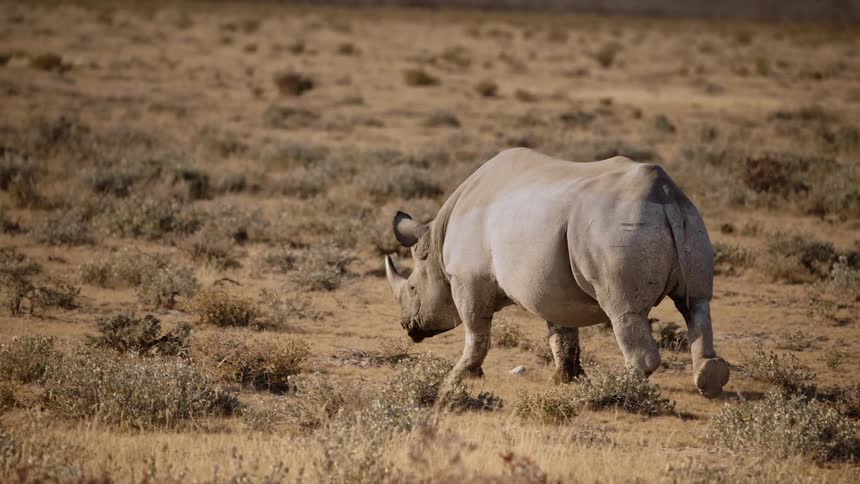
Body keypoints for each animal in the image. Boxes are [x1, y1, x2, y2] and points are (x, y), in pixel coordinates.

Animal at [384, 148, 729, 398]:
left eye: (412, 289)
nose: (406, 326)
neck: (436, 245)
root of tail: (667, 196)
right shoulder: (553, 286)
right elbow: (562, 334)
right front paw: (564, 380)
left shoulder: (469, 279)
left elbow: (475, 334)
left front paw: (456, 380)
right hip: (690, 220)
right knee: (697, 303)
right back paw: (709, 381)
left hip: (616, 227)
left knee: (624, 310)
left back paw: (623, 389)